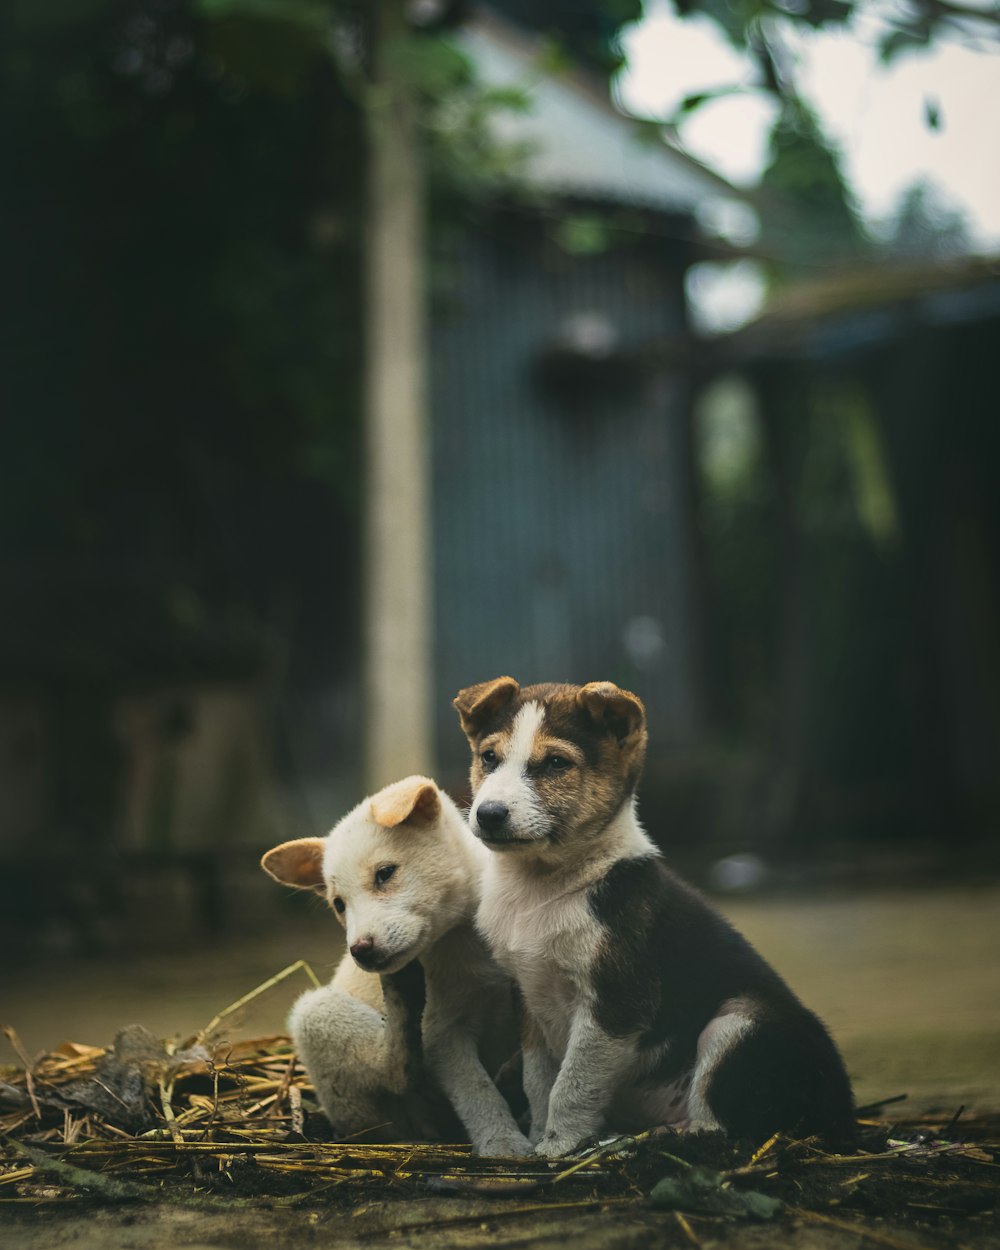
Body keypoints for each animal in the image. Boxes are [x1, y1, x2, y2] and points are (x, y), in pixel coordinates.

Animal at [261, 775, 535, 1155]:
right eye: (339, 904)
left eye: (385, 873)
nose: (361, 950)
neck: (465, 938)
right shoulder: (443, 1034)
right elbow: (476, 1092)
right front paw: (502, 1143)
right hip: (319, 1023)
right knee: (393, 1080)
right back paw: (402, 999)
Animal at [452, 680, 850, 1155]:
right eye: (489, 757)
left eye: (556, 763)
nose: (489, 814)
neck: (541, 884)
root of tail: (845, 1112)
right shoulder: (529, 996)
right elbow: (540, 1081)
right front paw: (536, 1138)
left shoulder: (617, 1004)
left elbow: (573, 1084)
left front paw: (561, 1146)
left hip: (739, 1020)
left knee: (726, 1127)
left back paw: (674, 1135)